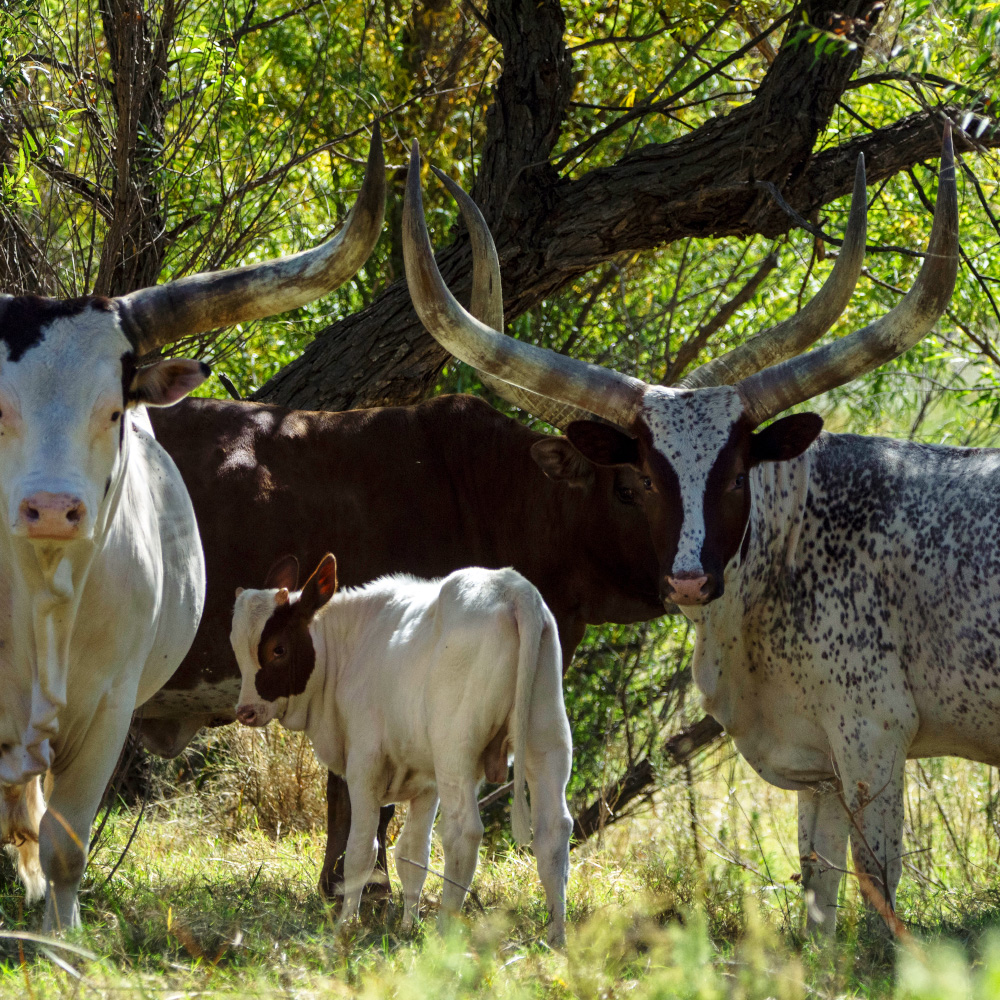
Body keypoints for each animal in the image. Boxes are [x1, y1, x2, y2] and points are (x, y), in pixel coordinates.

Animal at [228, 560, 572, 940]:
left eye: (278, 649)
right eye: (236, 648)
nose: (245, 711)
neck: (351, 644)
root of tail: (512, 589)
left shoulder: (364, 766)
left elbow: (361, 851)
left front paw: (346, 924)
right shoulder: (427, 783)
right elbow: (412, 855)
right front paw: (409, 926)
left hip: (455, 753)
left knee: (463, 833)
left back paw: (445, 933)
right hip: (547, 741)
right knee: (553, 830)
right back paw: (556, 937)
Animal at [402, 127, 964, 936]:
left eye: (734, 476)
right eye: (642, 479)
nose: (692, 578)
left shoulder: (874, 737)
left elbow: (877, 888)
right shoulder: (823, 764)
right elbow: (820, 893)